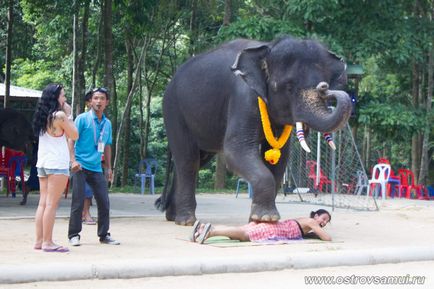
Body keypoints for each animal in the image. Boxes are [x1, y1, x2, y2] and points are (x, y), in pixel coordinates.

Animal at [156, 36, 352, 225]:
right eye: (288, 87)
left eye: (326, 83)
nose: (324, 87)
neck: (268, 47)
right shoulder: (244, 97)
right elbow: (236, 150)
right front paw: (266, 218)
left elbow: (280, 158)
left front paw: (258, 220)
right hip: (173, 110)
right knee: (187, 160)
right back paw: (186, 221)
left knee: (196, 160)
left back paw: (172, 216)